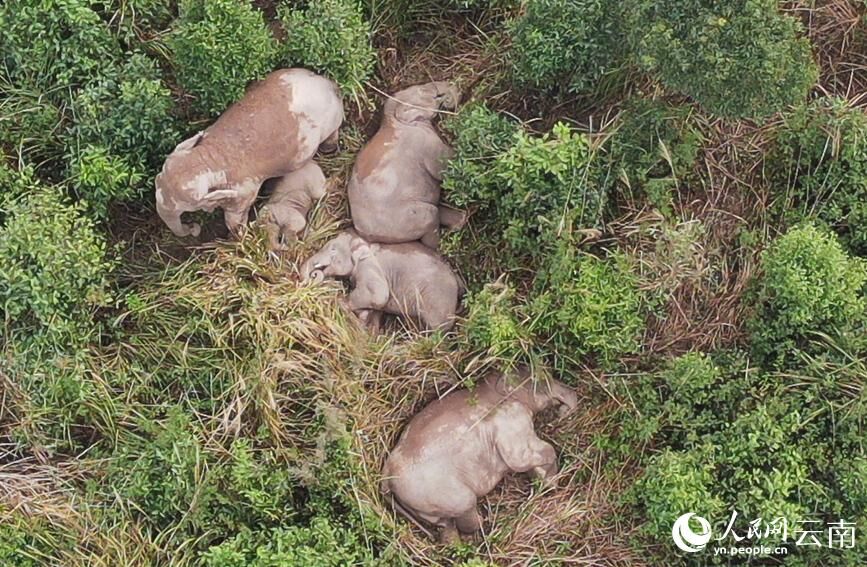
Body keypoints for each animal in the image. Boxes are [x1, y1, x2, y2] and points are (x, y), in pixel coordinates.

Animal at [154, 69, 344, 237]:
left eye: (187, 207)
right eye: (156, 180)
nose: (194, 228)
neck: (209, 158)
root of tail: (328, 83)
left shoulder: (243, 192)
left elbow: (233, 220)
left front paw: (240, 236)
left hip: (331, 121)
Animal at [300, 229, 462, 330]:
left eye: (333, 248)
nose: (314, 274)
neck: (367, 243)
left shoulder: (369, 268)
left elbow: (379, 296)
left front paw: (341, 301)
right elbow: (376, 311)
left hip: (439, 301)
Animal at [346, 81, 468, 250]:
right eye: (430, 93)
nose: (455, 89)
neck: (392, 120)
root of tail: (364, 234)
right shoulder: (423, 143)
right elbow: (443, 169)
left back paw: (462, 219)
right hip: (404, 219)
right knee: (431, 216)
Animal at [380, 370, 576, 544]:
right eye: (541, 379)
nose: (563, 410)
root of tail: (386, 474)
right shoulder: (510, 419)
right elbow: (526, 457)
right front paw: (551, 483)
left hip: (422, 504)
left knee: (445, 525)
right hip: (439, 493)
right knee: (466, 508)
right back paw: (483, 525)